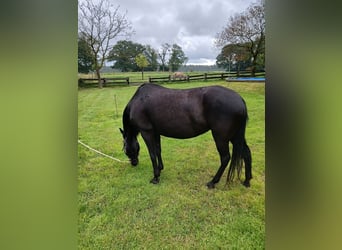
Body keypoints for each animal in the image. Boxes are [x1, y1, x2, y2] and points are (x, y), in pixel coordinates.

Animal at [119, 83, 251, 188]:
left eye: (126, 150)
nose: (134, 163)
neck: (139, 101)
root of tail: (240, 99)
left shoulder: (147, 132)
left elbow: (152, 154)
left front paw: (155, 177)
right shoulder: (156, 132)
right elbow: (158, 151)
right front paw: (160, 169)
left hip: (221, 137)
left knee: (225, 158)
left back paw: (213, 182)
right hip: (235, 136)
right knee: (246, 153)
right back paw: (247, 181)